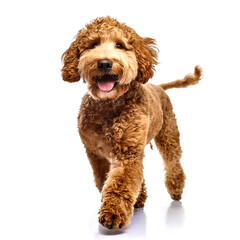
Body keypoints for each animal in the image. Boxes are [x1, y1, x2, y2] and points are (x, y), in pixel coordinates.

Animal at [61, 15, 202, 230]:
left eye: (120, 45)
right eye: (93, 44)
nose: (104, 63)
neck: (109, 105)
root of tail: (159, 87)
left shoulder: (127, 153)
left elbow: (120, 183)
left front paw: (112, 214)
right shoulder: (97, 154)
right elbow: (106, 180)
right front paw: (127, 202)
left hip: (169, 134)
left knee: (173, 161)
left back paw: (176, 189)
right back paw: (140, 199)